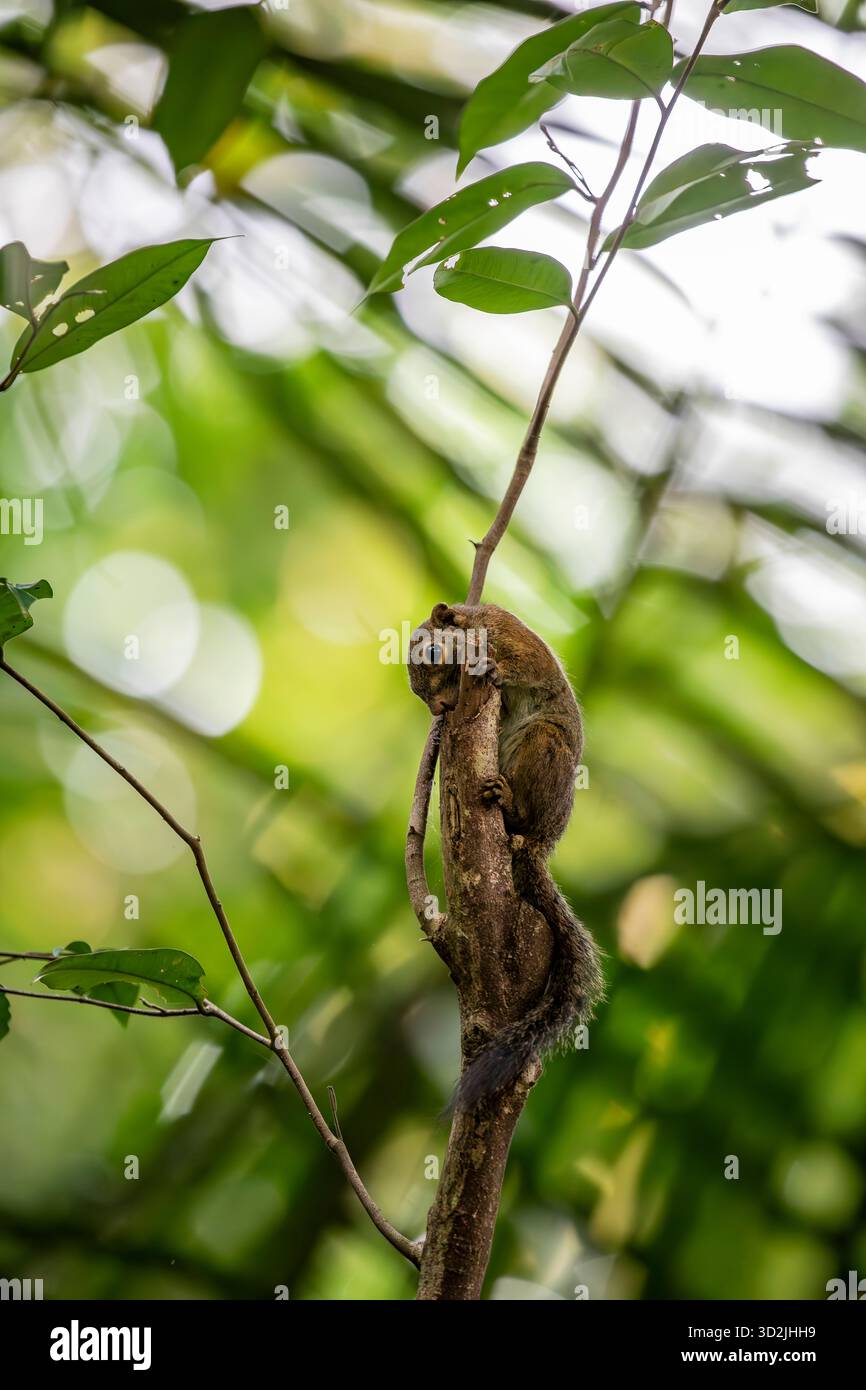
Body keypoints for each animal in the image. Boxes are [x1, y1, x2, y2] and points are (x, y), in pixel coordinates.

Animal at [408, 601, 603, 1109]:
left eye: (433, 653)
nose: (439, 710)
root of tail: (541, 844)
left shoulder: (514, 639)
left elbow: (526, 668)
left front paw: (495, 671)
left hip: (544, 746)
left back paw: (510, 803)